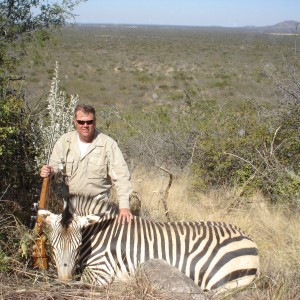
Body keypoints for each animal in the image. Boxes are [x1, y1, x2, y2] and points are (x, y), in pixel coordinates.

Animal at [39, 195, 260, 290]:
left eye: (77, 246)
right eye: (53, 246)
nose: (64, 280)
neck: (99, 233)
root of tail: (249, 239)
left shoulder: (101, 271)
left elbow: (82, 280)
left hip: (222, 284)